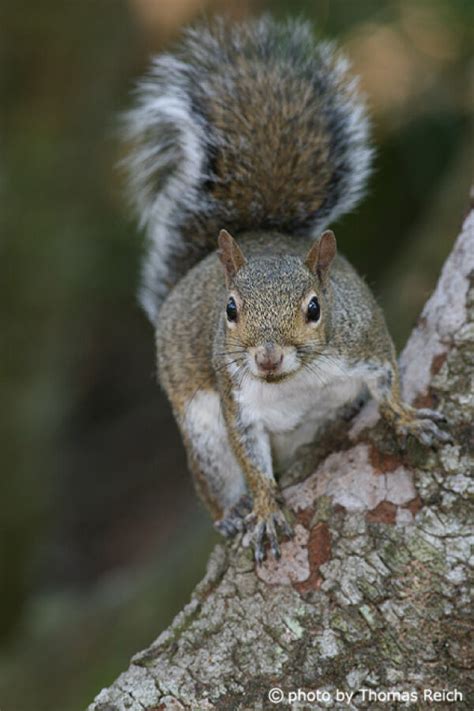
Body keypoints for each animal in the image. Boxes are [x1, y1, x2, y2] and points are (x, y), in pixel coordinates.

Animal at [124, 15, 450, 560]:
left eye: (315, 308)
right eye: (230, 310)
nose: (267, 357)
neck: (294, 380)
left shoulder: (366, 342)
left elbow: (388, 384)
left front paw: (406, 419)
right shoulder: (236, 404)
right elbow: (252, 461)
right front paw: (264, 510)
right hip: (200, 429)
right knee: (215, 479)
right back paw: (232, 512)